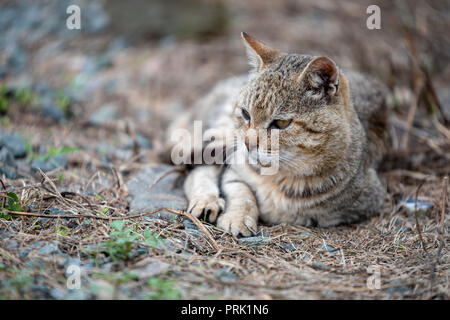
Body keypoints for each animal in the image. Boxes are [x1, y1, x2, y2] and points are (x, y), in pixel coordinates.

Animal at [165, 32, 390, 238]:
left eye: (281, 124)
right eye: (246, 114)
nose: (247, 143)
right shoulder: (235, 169)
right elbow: (242, 192)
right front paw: (239, 217)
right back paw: (206, 201)